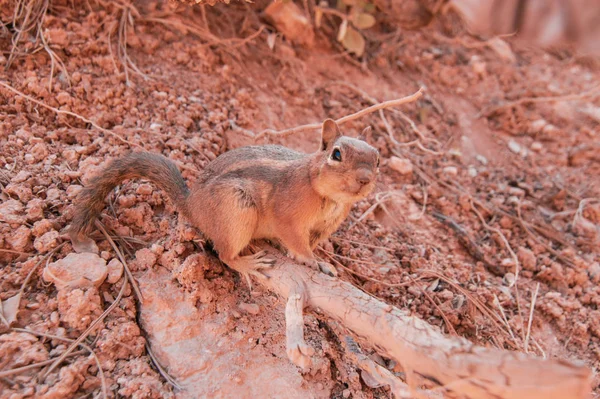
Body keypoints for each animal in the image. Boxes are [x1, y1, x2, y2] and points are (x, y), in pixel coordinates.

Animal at [69, 119, 380, 282]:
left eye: (377, 159)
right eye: (336, 154)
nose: (365, 179)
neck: (329, 197)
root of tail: (192, 204)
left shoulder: (325, 226)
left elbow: (309, 243)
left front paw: (320, 261)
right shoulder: (288, 215)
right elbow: (298, 242)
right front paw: (313, 261)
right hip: (237, 210)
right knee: (224, 255)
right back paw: (248, 264)